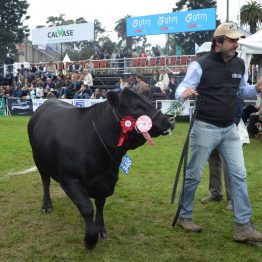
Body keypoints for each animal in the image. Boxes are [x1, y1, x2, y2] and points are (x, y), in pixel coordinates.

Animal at [28, 88, 174, 248]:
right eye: (136, 107)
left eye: (148, 100)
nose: (170, 120)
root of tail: (49, 101)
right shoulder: (69, 180)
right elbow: (87, 208)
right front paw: (90, 239)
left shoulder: (107, 180)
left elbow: (100, 205)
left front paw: (100, 229)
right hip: (38, 159)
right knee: (45, 182)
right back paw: (46, 205)